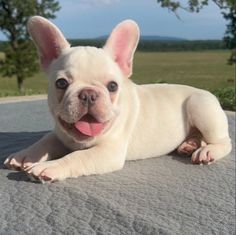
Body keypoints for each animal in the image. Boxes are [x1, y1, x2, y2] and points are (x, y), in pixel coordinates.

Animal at [4, 16, 232, 183]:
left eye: (112, 86)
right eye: (61, 83)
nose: (88, 94)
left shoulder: (108, 152)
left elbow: (76, 157)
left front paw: (49, 166)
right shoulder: (59, 135)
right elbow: (44, 141)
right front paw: (25, 156)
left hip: (200, 106)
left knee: (223, 142)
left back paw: (207, 150)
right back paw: (189, 144)